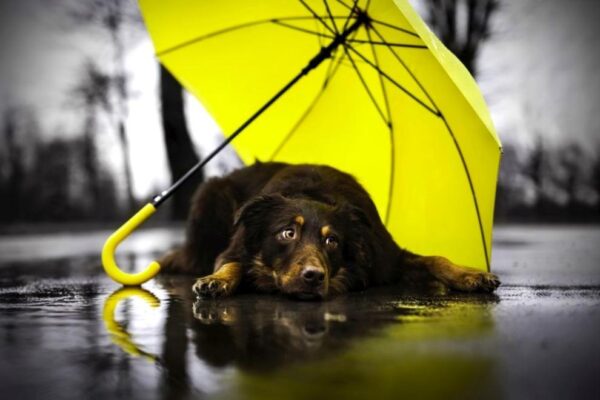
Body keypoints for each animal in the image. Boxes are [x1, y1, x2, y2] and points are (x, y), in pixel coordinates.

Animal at [161, 161, 502, 298]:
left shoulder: (386, 258)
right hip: (211, 194)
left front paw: (470, 275)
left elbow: (435, 259)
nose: (313, 277)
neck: (314, 194)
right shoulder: (235, 246)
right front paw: (217, 281)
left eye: (332, 241)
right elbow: (231, 263)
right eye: (288, 233)